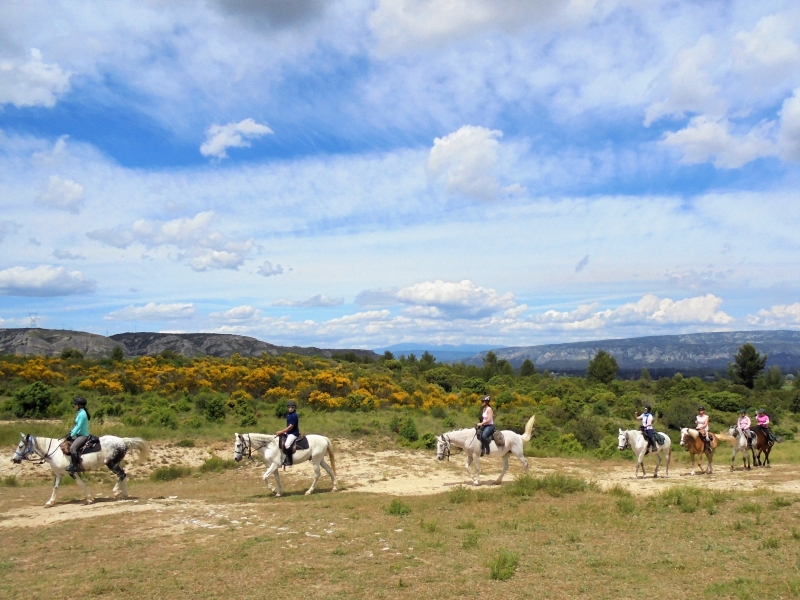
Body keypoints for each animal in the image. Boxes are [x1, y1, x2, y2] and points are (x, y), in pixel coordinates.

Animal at [11, 432, 150, 506]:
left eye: (21, 446)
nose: (14, 459)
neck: (54, 451)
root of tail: (122, 440)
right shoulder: (59, 474)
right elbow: (55, 488)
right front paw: (50, 502)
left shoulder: (71, 471)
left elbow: (80, 484)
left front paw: (89, 498)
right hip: (116, 464)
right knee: (124, 475)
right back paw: (123, 494)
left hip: (112, 464)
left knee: (121, 475)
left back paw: (116, 492)